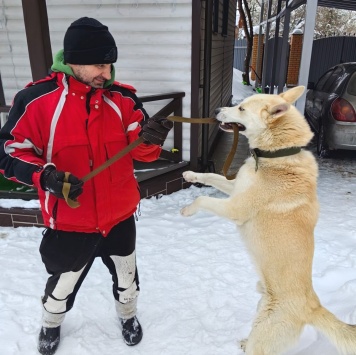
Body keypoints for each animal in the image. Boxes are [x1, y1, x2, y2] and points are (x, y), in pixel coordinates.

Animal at [181, 86, 356, 355]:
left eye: (241, 108)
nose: (217, 109)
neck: (275, 154)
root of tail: (312, 306)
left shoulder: (236, 207)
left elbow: (202, 199)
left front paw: (188, 210)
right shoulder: (235, 188)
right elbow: (211, 177)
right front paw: (191, 174)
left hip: (265, 334)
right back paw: (244, 341)